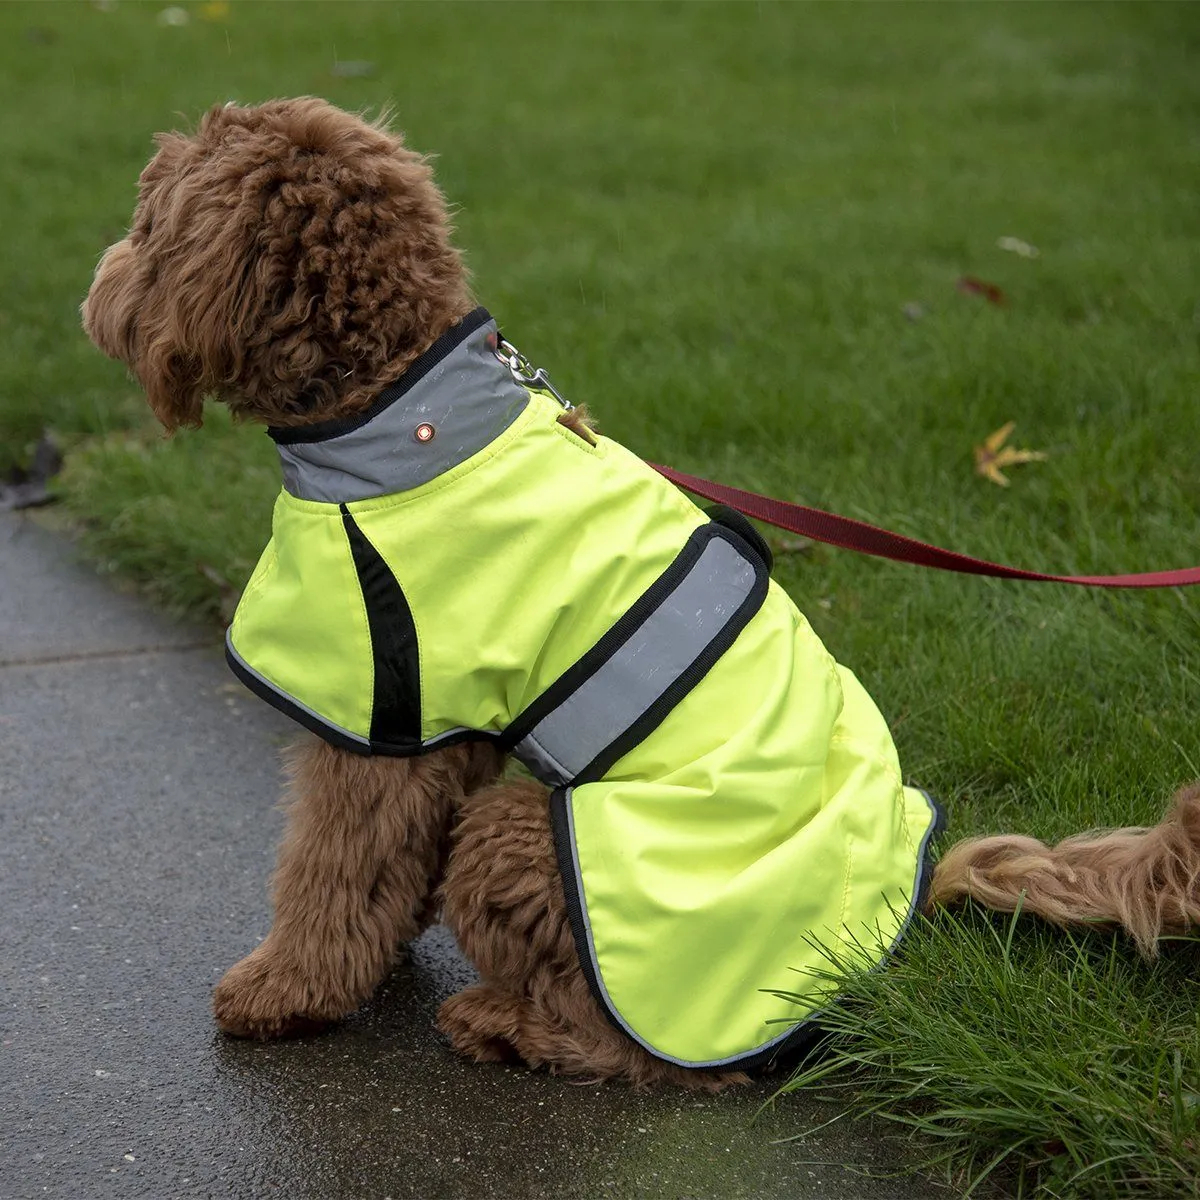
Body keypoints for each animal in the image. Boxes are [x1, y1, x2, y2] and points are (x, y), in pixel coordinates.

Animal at [82, 98, 1200, 1094]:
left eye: (148, 217)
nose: (94, 293)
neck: (399, 402)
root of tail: (888, 924)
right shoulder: (447, 726)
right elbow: (384, 867)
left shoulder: (375, 711)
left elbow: (329, 867)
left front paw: (284, 991)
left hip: (536, 849)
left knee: (656, 1059)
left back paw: (506, 1024)